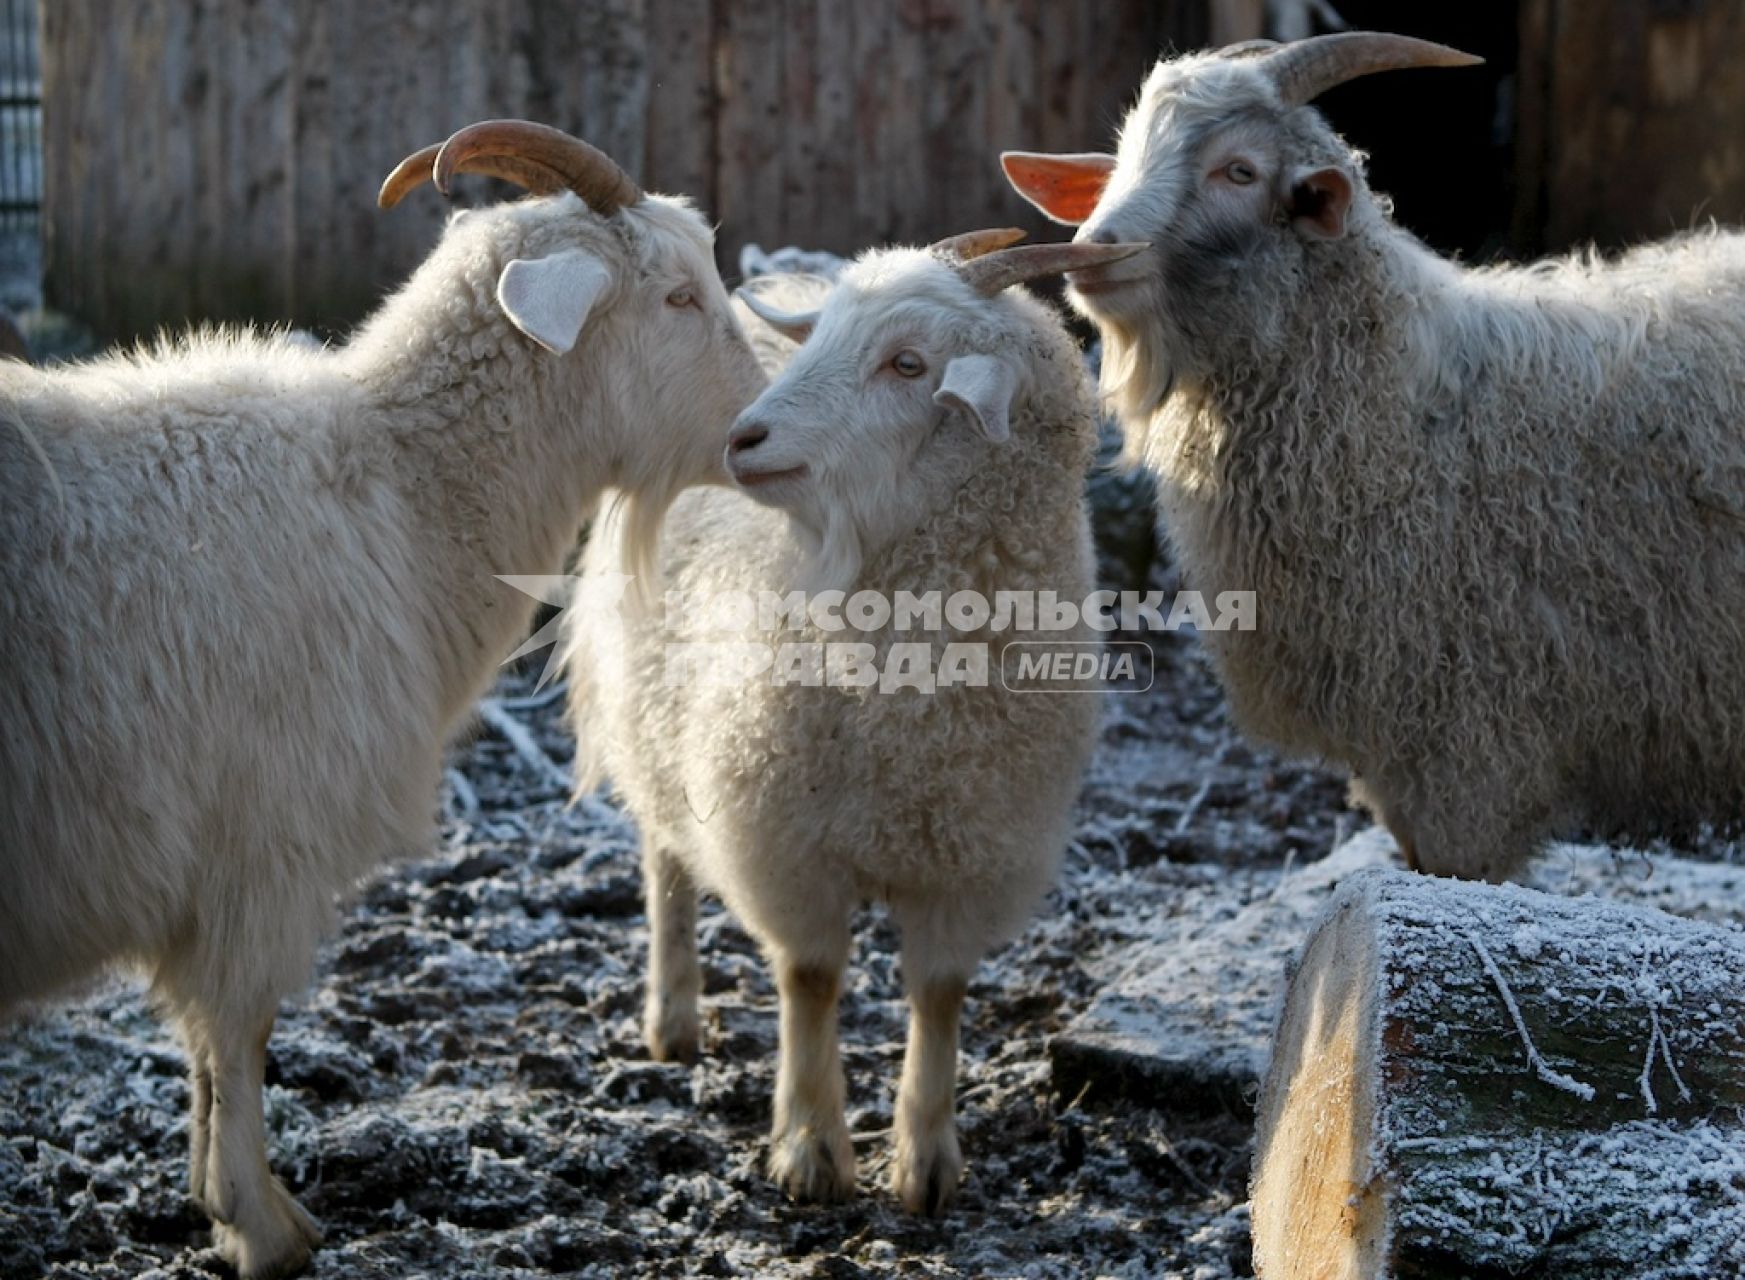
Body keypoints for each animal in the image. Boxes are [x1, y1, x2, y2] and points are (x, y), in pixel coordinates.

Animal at [0, 122, 764, 1280]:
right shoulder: (262, 843)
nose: (764, 424)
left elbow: (213, 1048)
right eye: (678, 294)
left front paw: (225, 1201)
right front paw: (260, 1224)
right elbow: (237, 1032)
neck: (402, 497)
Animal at [561, 233, 1144, 1220]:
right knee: (666, 858)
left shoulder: (973, 851)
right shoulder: (783, 837)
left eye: (908, 364)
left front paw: (927, 1160)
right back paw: (672, 1015)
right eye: (828, 338)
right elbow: (812, 979)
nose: (743, 439)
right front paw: (809, 1149)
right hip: (649, 711)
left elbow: (938, 993)